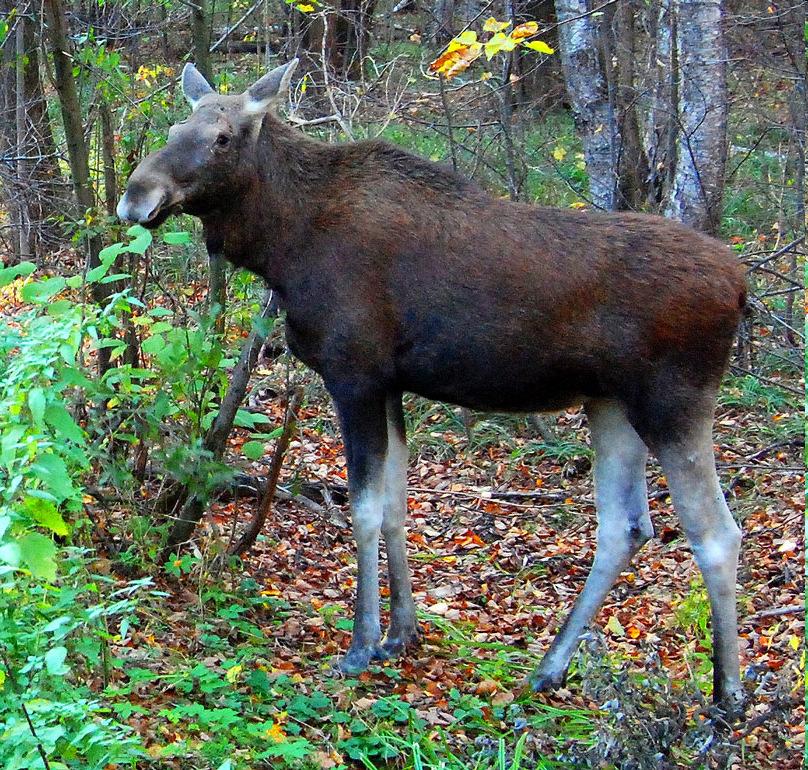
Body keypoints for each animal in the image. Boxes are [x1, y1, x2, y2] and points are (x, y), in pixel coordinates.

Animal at [117, 58, 748, 708]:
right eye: (177, 126)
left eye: (222, 138)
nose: (136, 196)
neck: (284, 243)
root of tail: (741, 285)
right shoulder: (391, 383)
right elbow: (397, 504)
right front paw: (402, 633)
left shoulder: (355, 374)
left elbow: (365, 509)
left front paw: (361, 645)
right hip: (610, 406)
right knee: (625, 527)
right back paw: (549, 668)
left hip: (673, 401)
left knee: (717, 535)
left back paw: (725, 698)